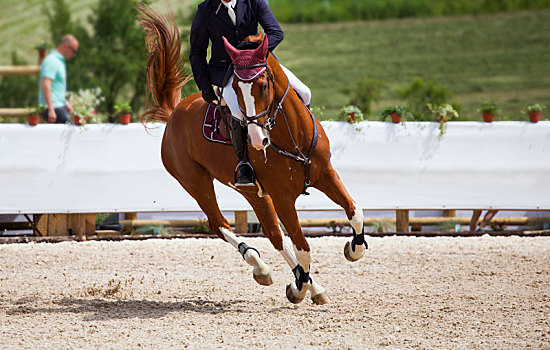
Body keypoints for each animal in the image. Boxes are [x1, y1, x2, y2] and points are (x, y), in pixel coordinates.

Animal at [139, 6, 370, 304]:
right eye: (236, 88)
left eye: (263, 84)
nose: (258, 141)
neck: (292, 137)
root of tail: (175, 112)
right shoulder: (283, 197)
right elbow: (303, 247)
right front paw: (299, 286)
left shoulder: (326, 174)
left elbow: (355, 212)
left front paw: (354, 249)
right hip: (196, 182)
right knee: (220, 224)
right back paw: (264, 268)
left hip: (252, 192)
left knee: (274, 235)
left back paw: (303, 283)